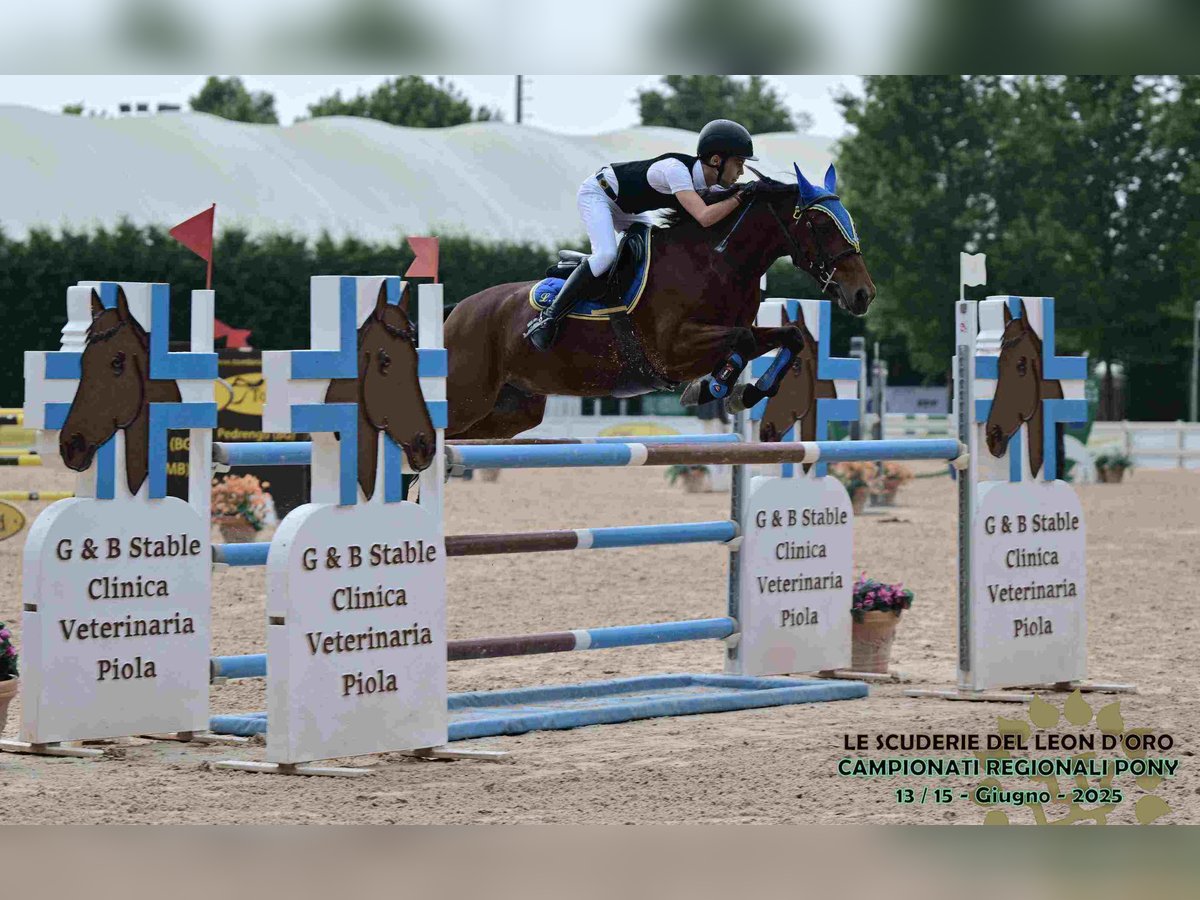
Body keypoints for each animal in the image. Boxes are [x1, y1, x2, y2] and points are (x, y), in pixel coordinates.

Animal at [444, 164, 875, 440]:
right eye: (821, 225)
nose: (863, 294)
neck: (717, 261)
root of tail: (457, 312)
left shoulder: (728, 332)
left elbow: (788, 337)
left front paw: (742, 392)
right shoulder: (671, 351)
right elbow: (743, 341)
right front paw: (713, 388)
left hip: (511, 409)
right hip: (468, 396)